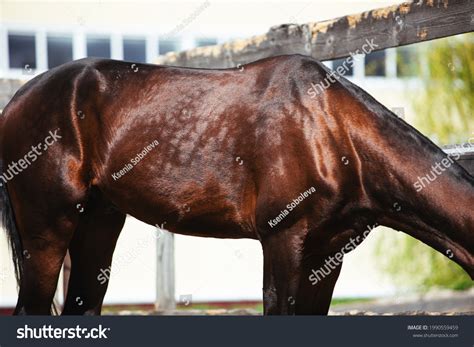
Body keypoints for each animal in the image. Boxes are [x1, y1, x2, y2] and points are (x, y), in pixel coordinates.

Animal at [0, 53, 472, 316]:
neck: (332, 131)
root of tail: (16, 100)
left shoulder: (328, 255)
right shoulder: (284, 240)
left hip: (98, 224)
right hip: (47, 231)